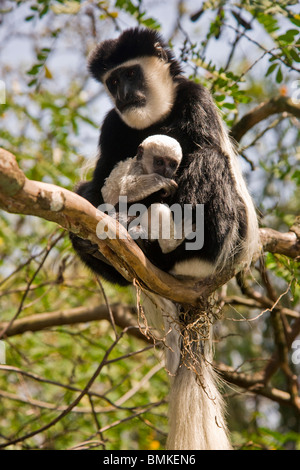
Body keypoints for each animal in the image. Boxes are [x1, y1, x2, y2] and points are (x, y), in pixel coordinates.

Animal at [69, 27, 258, 450]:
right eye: (112, 82)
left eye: (131, 74)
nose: (123, 94)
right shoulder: (112, 125)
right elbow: (102, 180)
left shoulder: (196, 98)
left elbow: (206, 146)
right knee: (84, 194)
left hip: (225, 239)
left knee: (209, 158)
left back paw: (175, 239)